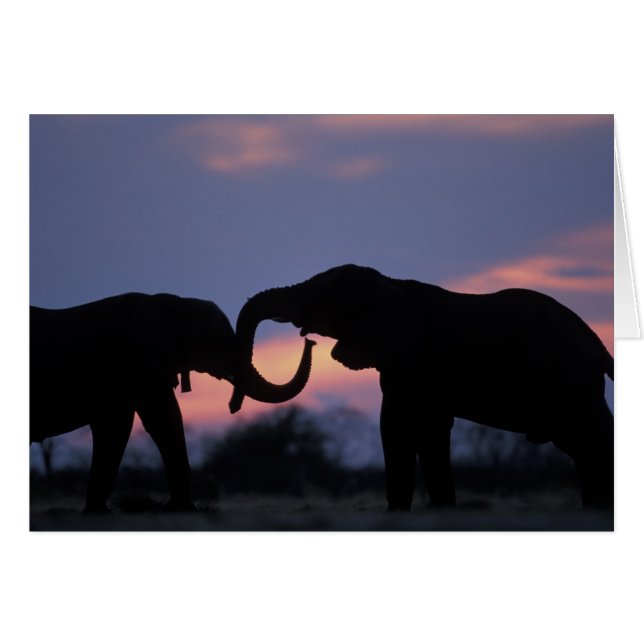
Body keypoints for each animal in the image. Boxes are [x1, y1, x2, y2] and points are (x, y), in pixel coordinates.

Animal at [30, 292, 314, 512]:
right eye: (215, 340)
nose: (308, 339)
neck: (170, 302)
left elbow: (163, 419)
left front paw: (180, 508)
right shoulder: (121, 364)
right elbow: (119, 424)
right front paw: (99, 513)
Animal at [229, 264, 614, 510]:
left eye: (324, 296)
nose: (307, 342)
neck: (392, 286)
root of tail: (596, 343)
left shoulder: (411, 361)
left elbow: (397, 425)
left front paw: (395, 514)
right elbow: (431, 432)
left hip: (571, 386)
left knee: (592, 440)